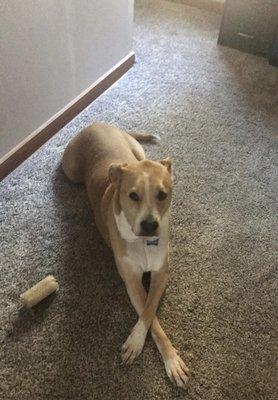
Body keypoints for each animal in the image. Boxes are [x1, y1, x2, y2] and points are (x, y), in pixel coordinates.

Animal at [62, 123, 189, 390]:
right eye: (133, 196)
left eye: (162, 194)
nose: (150, 225)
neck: (143, 242)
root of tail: (98, 123)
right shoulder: (131, 281)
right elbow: (151, 320)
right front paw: (137, 344)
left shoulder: (161, 274)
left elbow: (150, 311)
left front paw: (170, 360)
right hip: (71, 170)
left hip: (138, 151)